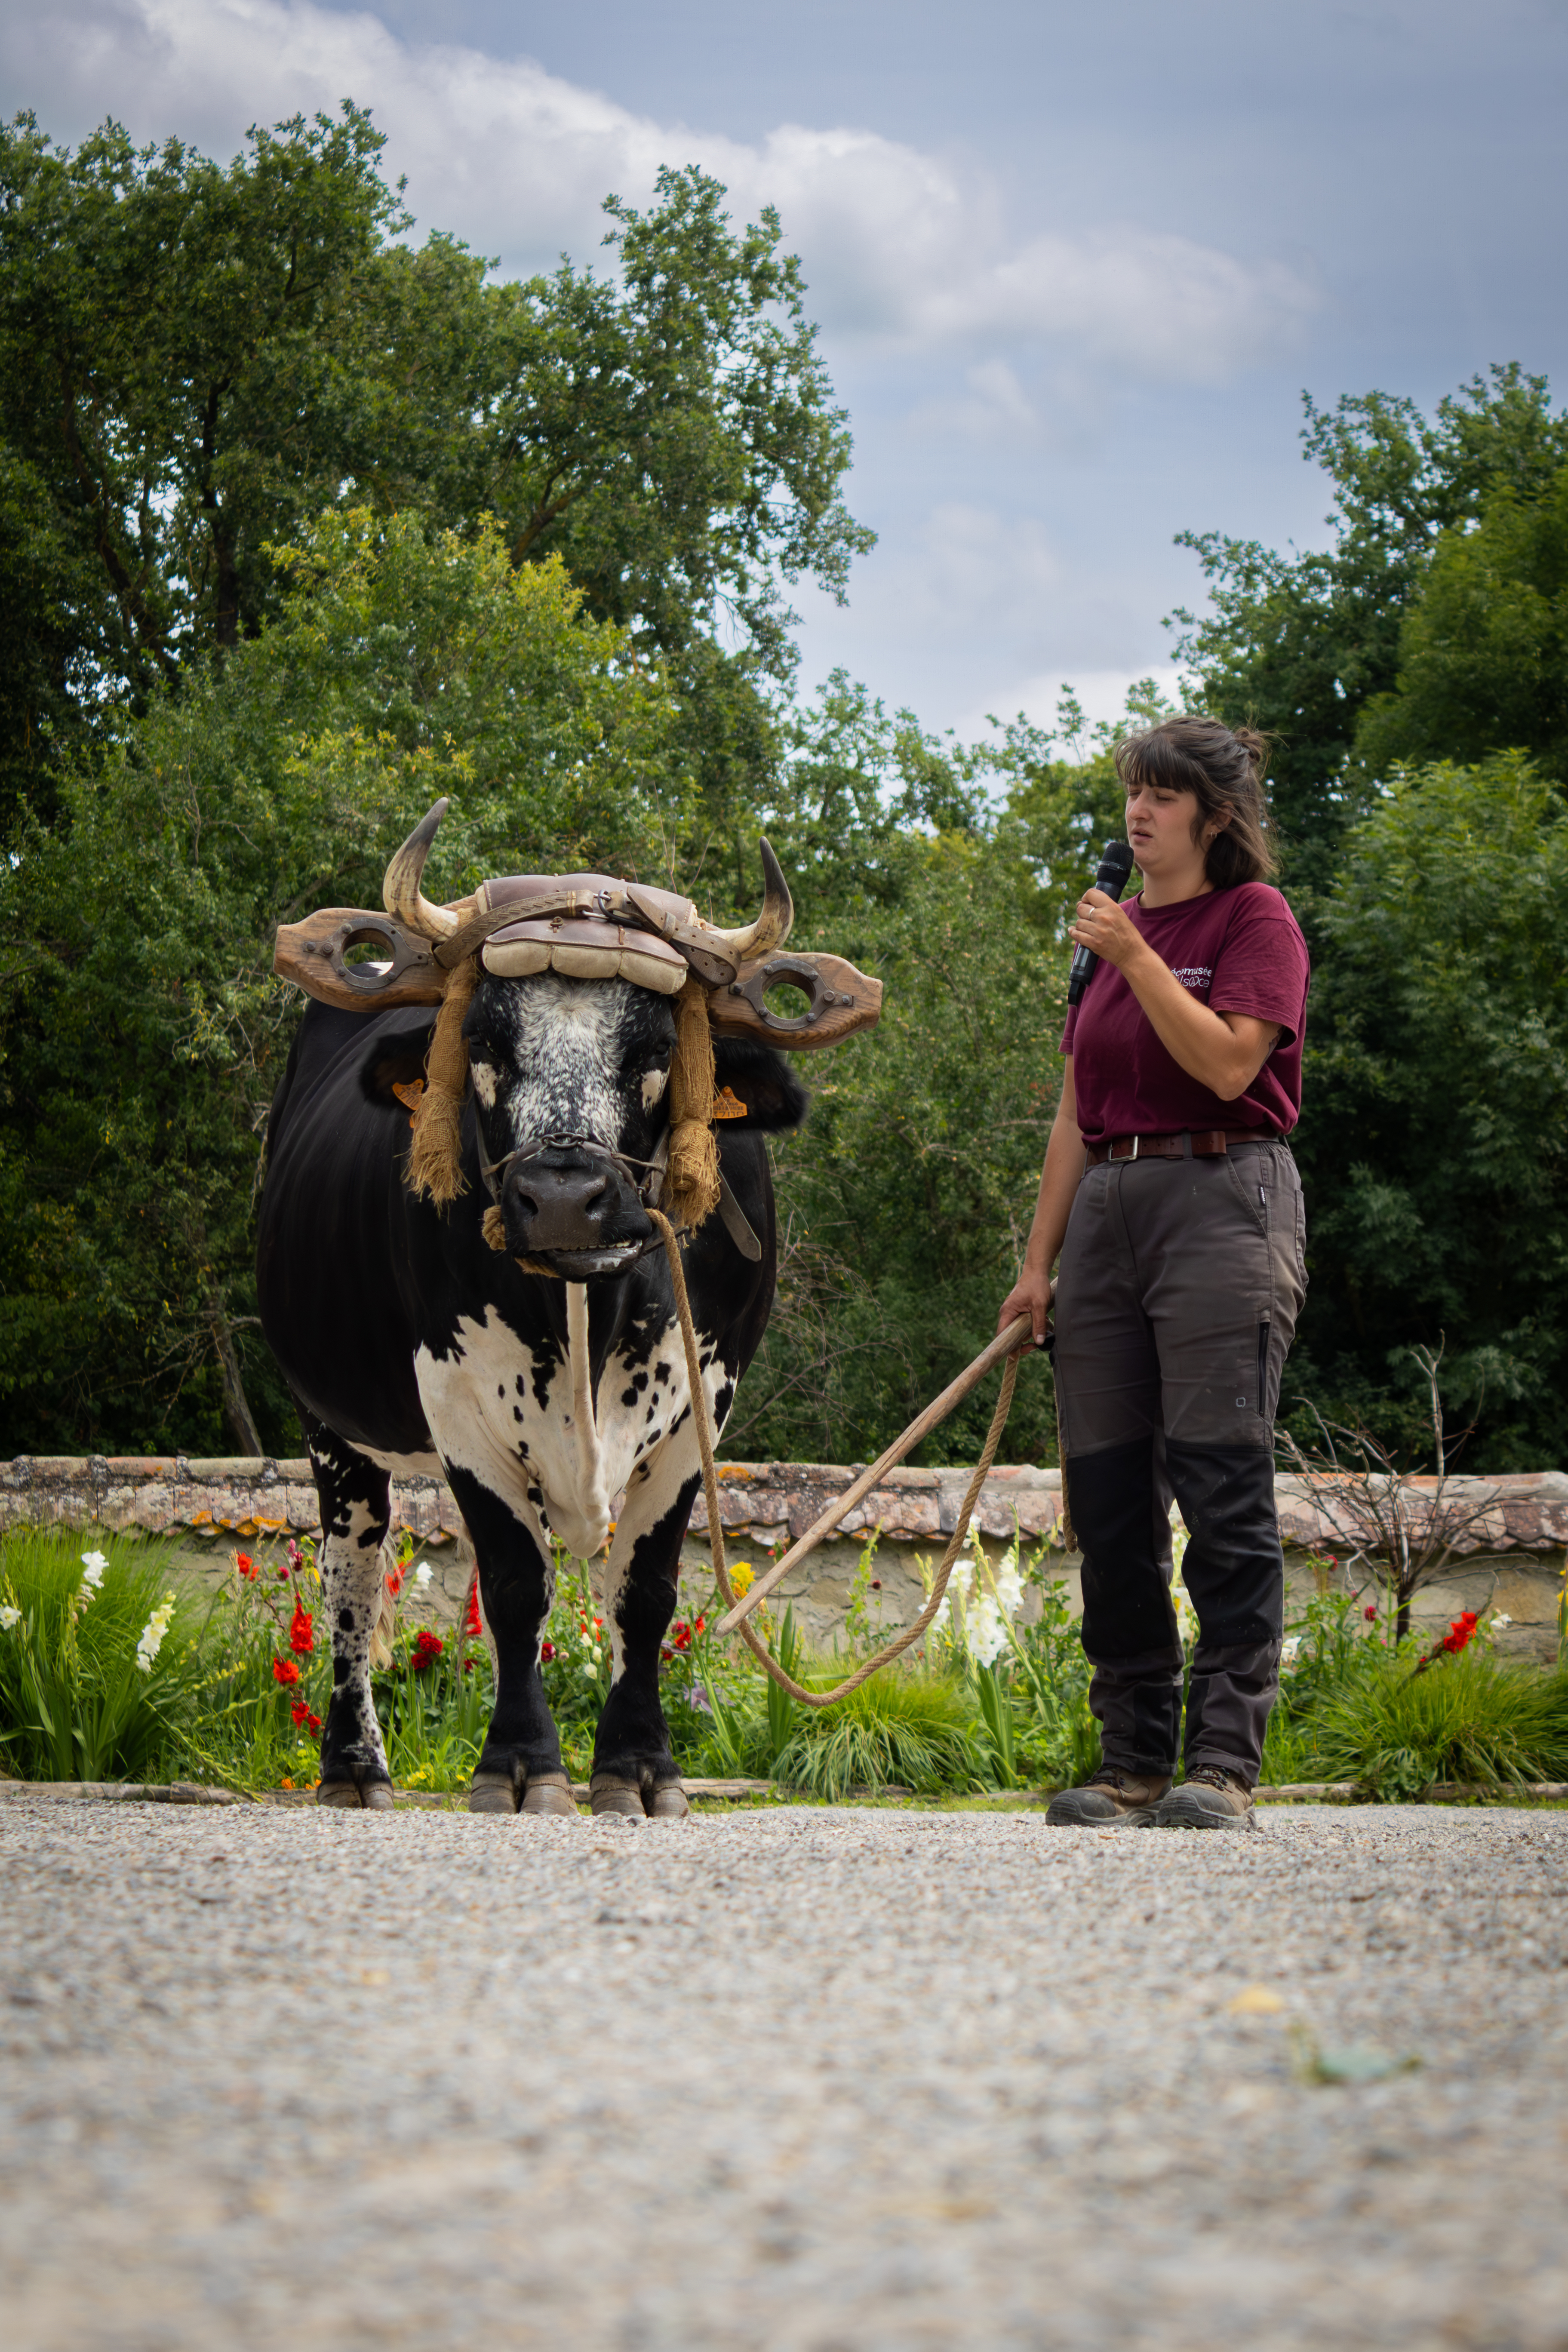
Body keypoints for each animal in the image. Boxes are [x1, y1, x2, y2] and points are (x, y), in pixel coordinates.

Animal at [257, 804, 878, 1816]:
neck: (590, 1304)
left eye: (656, 1049)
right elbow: (515, 1586)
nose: (559, 1197)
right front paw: (520, 1763)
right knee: (350, 1576)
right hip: (332, 1427)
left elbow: (645, 1594)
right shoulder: (459, 1405)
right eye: (484, 1041)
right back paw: (353, 1765)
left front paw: (638, 1765)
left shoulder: (698, 1411)